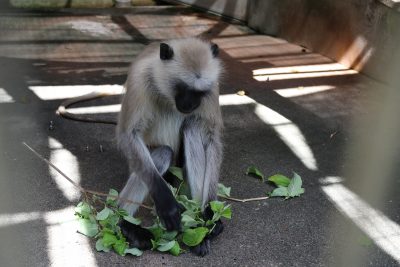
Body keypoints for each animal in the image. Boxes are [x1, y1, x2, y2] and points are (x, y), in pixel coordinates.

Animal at [115, 38, 223, 258]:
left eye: (199, 92)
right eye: (183, 88)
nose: (190, 104)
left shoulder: (212, 87)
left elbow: (212, 139)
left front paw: (209, 212)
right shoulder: (140, 78)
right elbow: (128, 135)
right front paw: (166, 203)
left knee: (192, 128)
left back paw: (198, 227)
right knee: (164, 152)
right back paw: (125, 223)